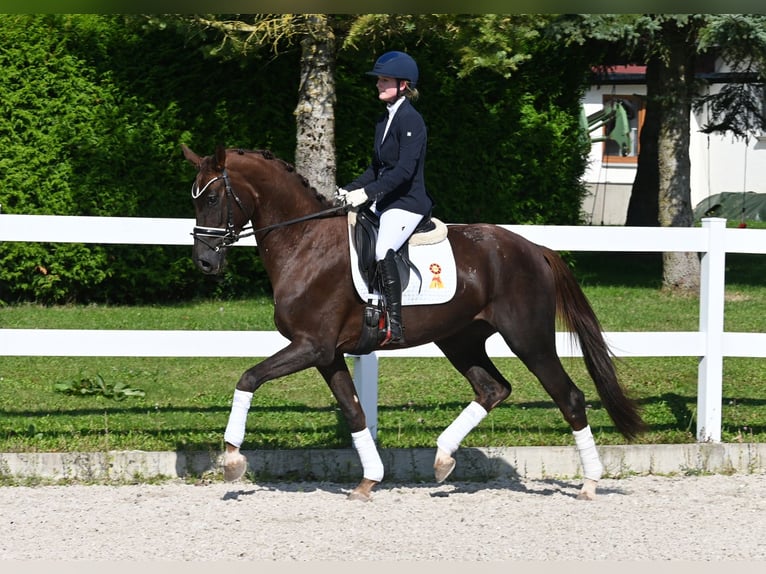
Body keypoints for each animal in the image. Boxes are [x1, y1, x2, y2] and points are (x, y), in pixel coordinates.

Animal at [183, 145, 644, 504]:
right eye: (195, 200)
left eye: (212, 198)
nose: (204, 263)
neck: (305, 244)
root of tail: (534, 248)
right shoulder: (327, 353)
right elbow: (354, 412)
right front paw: (368, 481)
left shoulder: (311, 346)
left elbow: (248, 377)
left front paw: (232, 459)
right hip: (460, 340)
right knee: (493, 389)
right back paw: (442, 458)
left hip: (529, 339)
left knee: (569, 397)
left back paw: (589, 483)